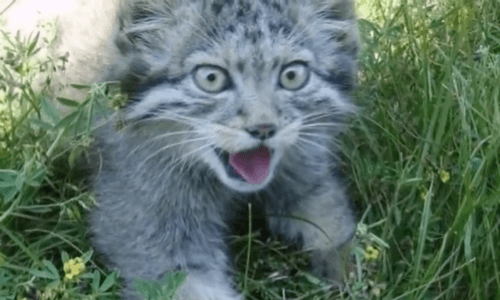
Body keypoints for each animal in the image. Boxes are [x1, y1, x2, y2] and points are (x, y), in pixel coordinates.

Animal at [90, 1, 360, 298]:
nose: (263, 128)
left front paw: (345, 267)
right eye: (211, 78)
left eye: (292, 75)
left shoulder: (307, 172)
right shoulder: (149, 227)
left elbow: (331, 216)